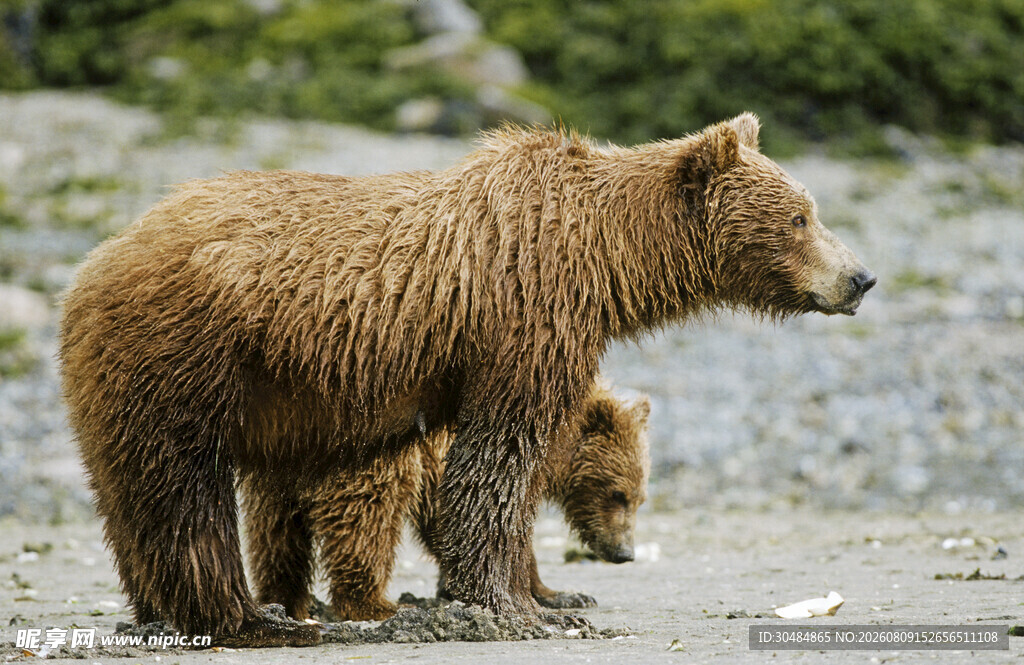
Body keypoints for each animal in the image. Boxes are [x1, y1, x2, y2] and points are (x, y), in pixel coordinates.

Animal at [241, 383, 651, 621]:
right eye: (618, 494)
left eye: (639, 499)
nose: (624, 553)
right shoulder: (444, 456)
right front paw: (556, 593)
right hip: (365, 456)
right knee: (367, 515)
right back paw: (378, 604)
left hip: (279, 468)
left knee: (274, 533)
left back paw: (284, 600)